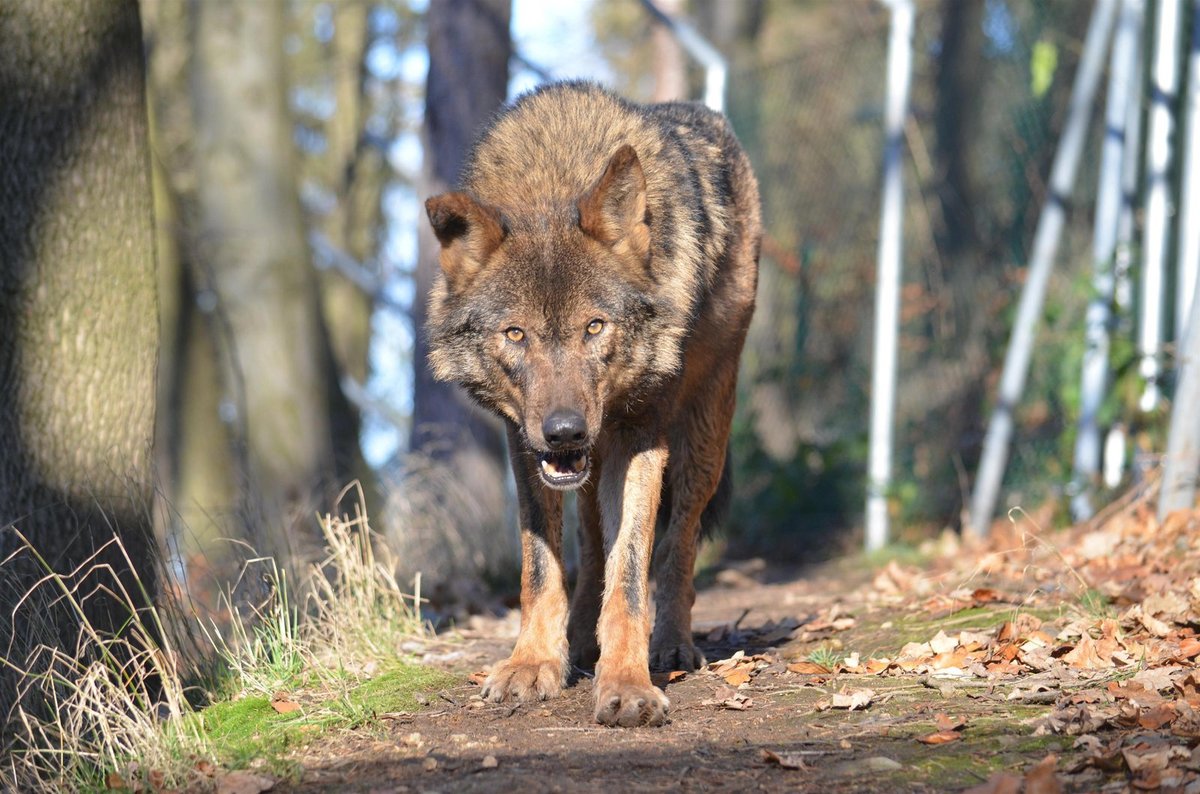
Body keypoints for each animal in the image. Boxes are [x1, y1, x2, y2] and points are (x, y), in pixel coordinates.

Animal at [422, 82, 758, 729]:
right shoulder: (522, 442)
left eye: (594, 327)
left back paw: (671, 644)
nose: (564, 431)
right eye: (516, 334)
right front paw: (534, 663)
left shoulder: (642, 433)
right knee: (592, 544)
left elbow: (630, 575)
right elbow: (542, 568)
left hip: (705, 428)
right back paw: (578, 641)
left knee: (677, 541)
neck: (554, 179)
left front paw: (626, 683)